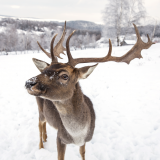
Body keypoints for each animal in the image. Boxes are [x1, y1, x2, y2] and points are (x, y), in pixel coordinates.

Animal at [25, 21, 154, 160]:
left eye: (64, 76)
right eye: (44, 70)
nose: (29, 82)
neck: (77, 135)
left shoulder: (85, 140)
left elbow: (82, 154)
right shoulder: (60, 137)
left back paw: (45, 138)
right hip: (40, 109)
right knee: (40, 124)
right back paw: (41, 146)